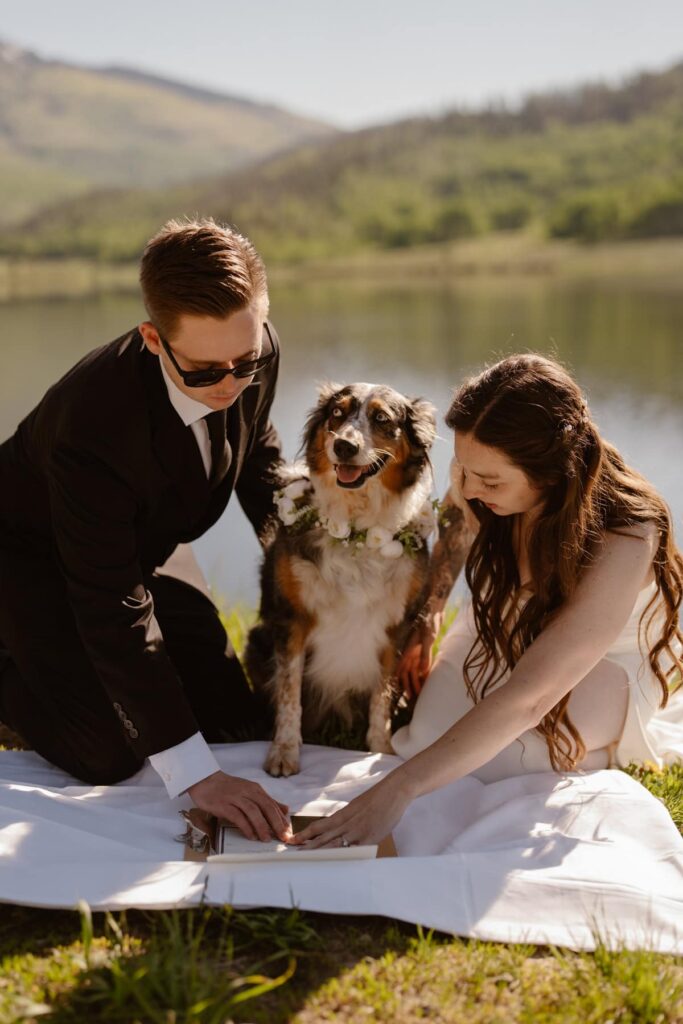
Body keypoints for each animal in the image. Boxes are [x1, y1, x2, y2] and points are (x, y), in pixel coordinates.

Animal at [246, 385, 438, 774]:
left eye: (381, 418)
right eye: (337, 413)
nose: (344, 446)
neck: (355, 533)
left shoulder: (398, 627)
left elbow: (382, 695)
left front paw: (381, 750)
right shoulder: (292, 619)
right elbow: (289, 693)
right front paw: (284, 751)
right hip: (256, 642)